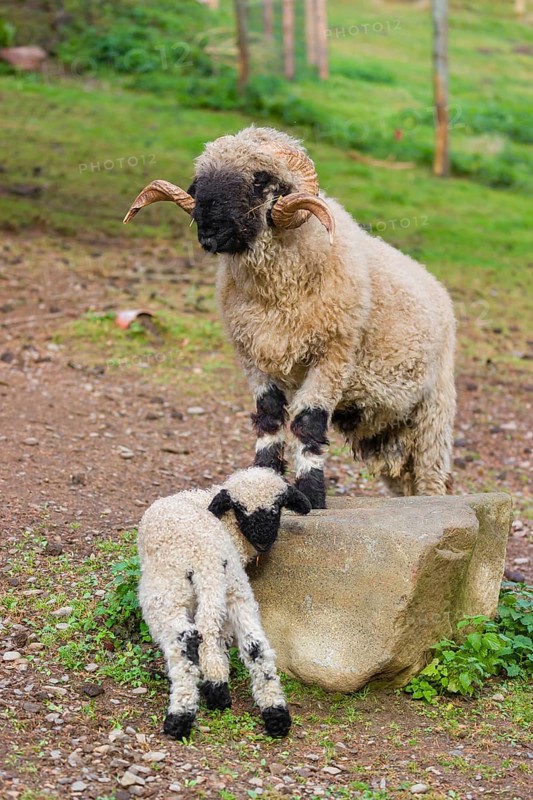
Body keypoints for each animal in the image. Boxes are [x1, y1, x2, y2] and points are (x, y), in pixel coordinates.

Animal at [124, 126, 456, 508]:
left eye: (260, 179)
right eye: (200, 180)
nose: (207, 230)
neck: (276, 296)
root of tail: (436, 286)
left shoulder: (333, 356)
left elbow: (307, 423)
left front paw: (312, 494)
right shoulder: (253, 355)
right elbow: (268, 419)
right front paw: (262, 478)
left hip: (434, 411)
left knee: (431, 474)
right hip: (387, 427)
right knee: (403, 476)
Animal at [137, 466, 311, 739]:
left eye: (276, 508)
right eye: (241, 510)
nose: (263, 541)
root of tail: (206, 558)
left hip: (166, 594)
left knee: (186, 640)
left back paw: (180, 716)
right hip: (235, 588)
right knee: (255, 644)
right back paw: (275, 714)